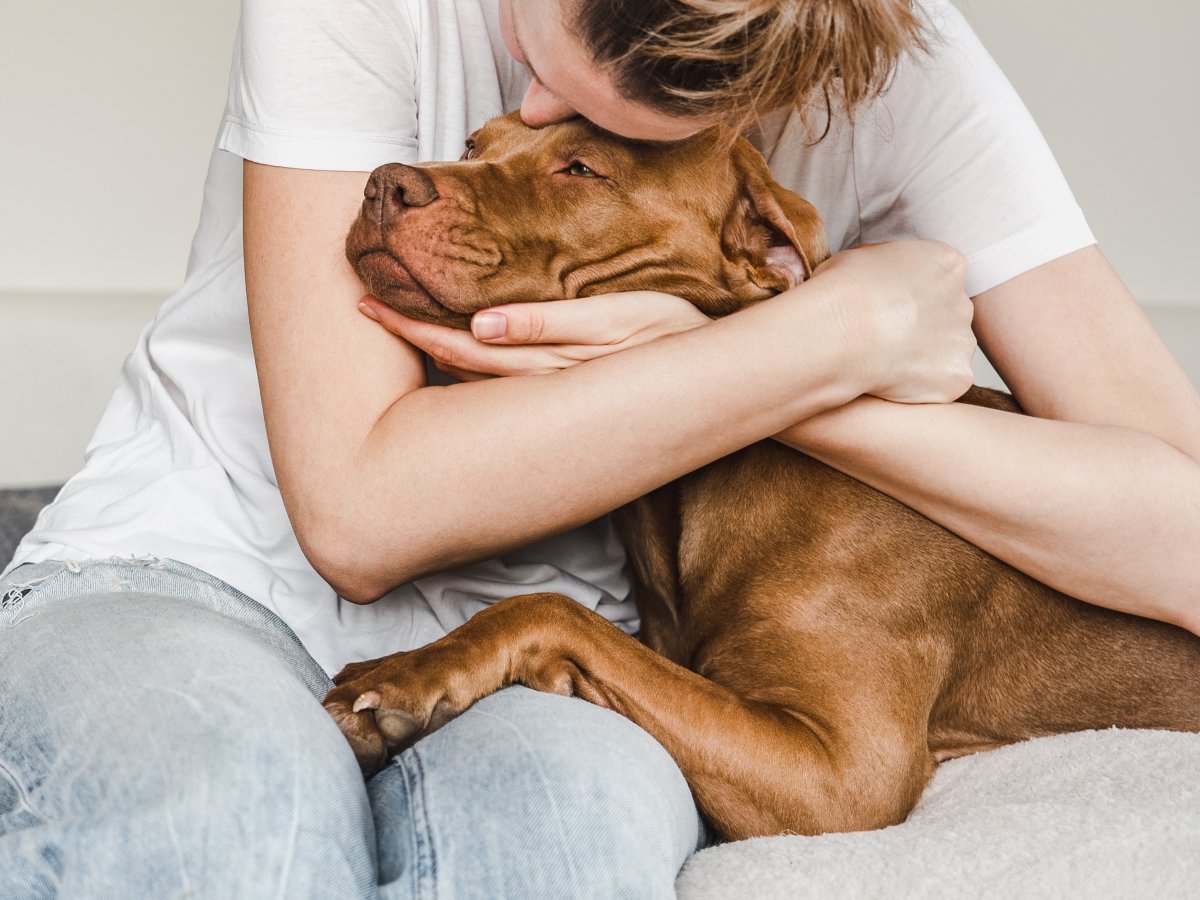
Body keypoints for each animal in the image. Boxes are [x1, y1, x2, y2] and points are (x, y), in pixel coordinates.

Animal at [326, 112, 1200, 844]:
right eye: (475, 143)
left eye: (580, 168)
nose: (383, 182)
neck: (691, 493)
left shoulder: (841, 773)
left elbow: (553, 608)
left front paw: (407, 674)